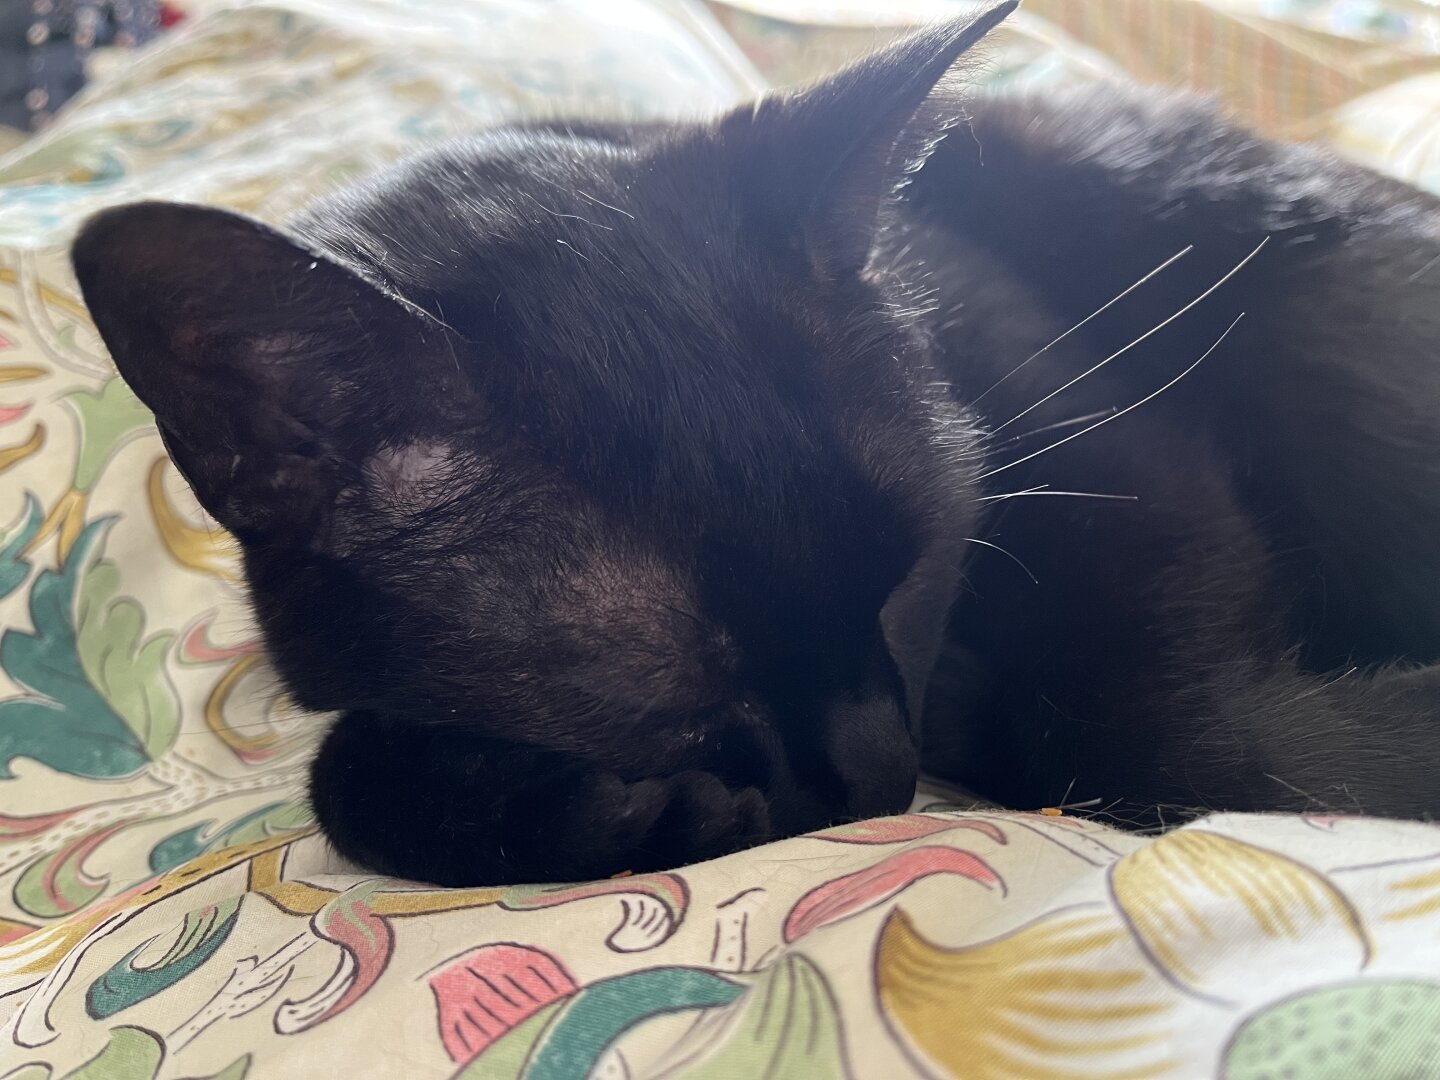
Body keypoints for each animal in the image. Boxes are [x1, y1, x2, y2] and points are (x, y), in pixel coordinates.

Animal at [73, 4, 1440, 887]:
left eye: (914, 573)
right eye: (674, 685)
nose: (885, 773)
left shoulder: (1113, 457)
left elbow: (1158, 734)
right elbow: (342, 787)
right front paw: (621, 816)